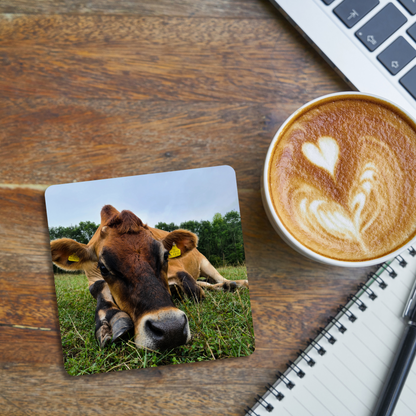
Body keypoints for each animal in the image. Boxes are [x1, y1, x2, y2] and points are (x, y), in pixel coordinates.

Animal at [50, 205, 249, 352]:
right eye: (103, 267)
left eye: (166, 255)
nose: (171, 329)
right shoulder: (92, 277)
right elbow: (98, 288)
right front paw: (110, 322)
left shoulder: (178, 269)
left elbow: (193, 288)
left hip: (206, 263)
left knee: (215, 278)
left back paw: (235, 284)